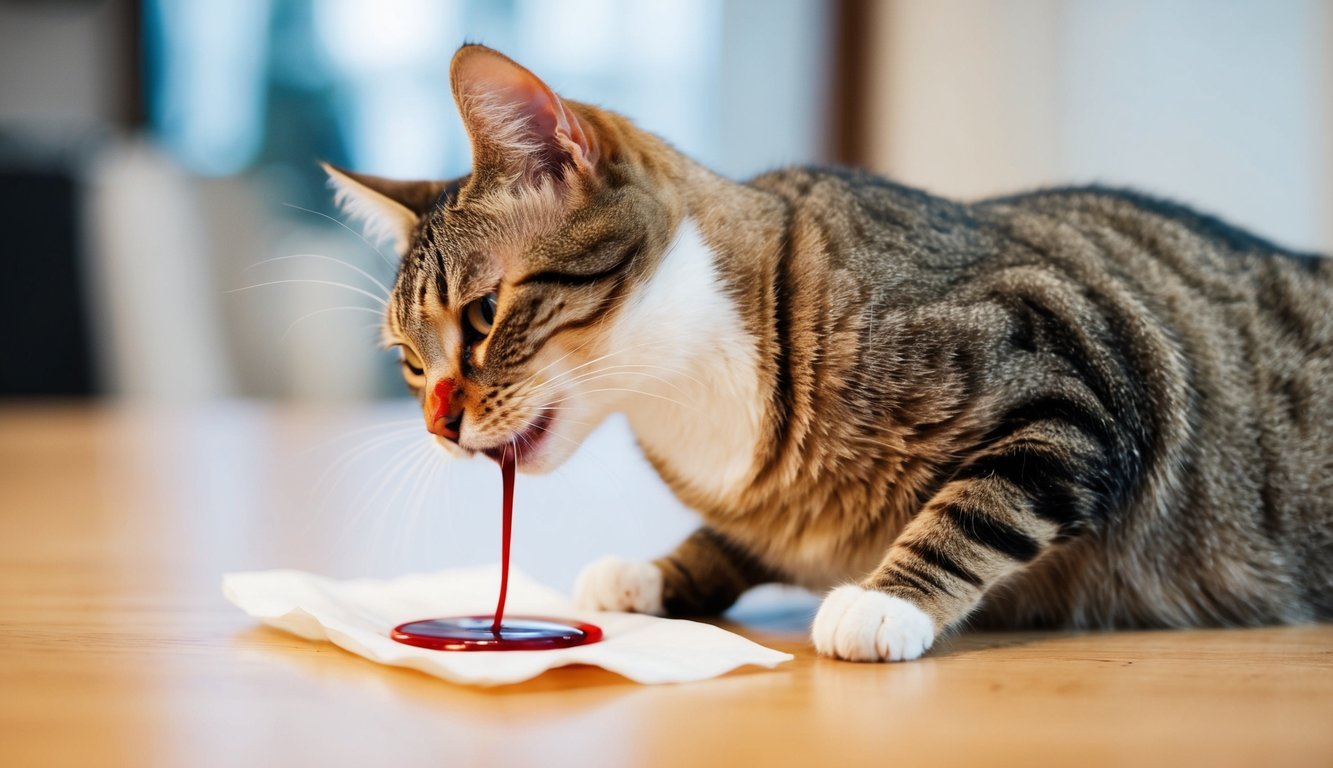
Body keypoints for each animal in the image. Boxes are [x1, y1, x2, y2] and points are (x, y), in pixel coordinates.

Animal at [325, 46, 1333, 661]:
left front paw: (887, 597)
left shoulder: (1076, 374)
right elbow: (733, 539)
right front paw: (657, 571)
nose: (437, 422)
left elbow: (978, 502)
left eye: (484, 312)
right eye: (409, 360)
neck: (681, 387)